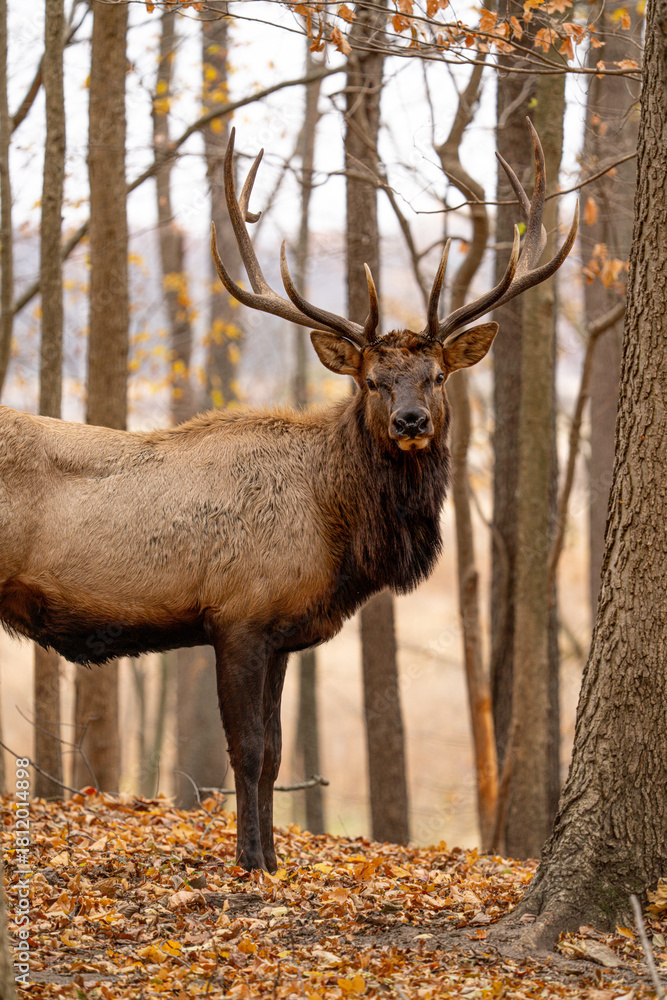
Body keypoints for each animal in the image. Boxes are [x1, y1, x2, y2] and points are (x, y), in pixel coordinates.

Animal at [0, 122, 577, 872]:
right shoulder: (238, 616)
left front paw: (271, 859)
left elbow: (275, 754)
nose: (410, 422)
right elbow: (247, 751)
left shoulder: (279, 632)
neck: (338, 532)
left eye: (437, 376)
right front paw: (249, 861)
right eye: (371, 381)